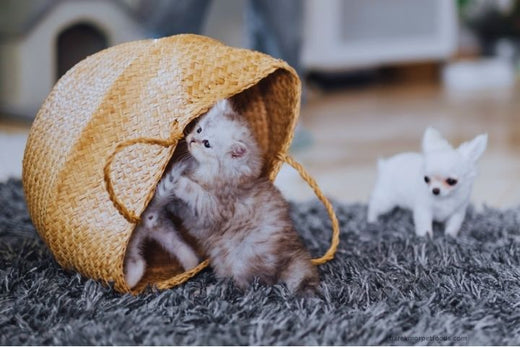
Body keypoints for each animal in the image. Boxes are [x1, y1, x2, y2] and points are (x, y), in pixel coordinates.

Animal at [124, 147, 199, 290]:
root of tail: (148, 214)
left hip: (132, 243)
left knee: (137, 261)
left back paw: (128, 284)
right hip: (164, 231)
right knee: (181, 247)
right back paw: (191, 268)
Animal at [165, 99, 318, 294]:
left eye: (207, 144)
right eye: (199, 130)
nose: (192, 140)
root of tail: (293, 253)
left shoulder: (214, 208)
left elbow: (194, 191)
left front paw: (177, 181)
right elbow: (180, 207)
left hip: (242, 259)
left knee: (245, 284)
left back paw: (212, 289)